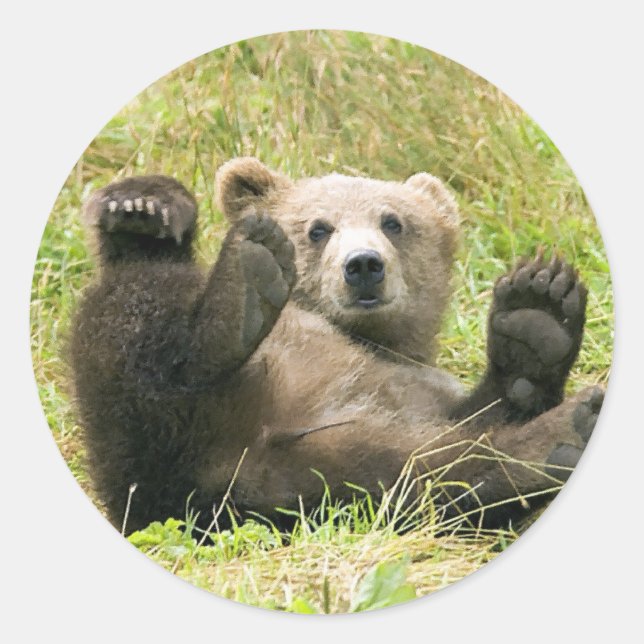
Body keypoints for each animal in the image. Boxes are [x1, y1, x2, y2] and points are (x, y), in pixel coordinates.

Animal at [69, 157, 603, 535]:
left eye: (393, 222)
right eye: (318, 227)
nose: (364, 265)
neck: (368, 338)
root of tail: (224, 466)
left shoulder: (418, 390)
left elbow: (485, 411)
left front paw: (537, 314)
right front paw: (141, 205)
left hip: (319, 470)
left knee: (427, 474)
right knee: (137, 314)